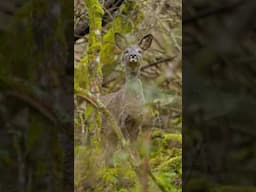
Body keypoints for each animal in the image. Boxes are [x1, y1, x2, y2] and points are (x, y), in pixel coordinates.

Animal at [100, 33, 152, 164]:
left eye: (140, 51)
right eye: (126, 51)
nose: (133, 55)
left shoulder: (139, 120)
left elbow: (133, 144)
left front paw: (137, 161)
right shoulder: (121, 119)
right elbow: (126, 143)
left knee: (107, 154)